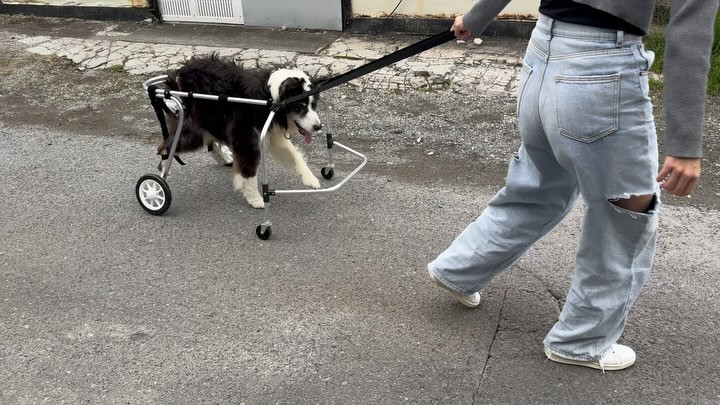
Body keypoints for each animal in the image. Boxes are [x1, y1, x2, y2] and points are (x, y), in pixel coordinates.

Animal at [162, 53, 324, 208]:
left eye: (314, 105)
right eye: (299, 106)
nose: (318, 127)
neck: (269, 98)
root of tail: (181, 71)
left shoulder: (272, 137)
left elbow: (294, 155)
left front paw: (311, 179)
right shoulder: (246, 141)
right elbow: (249, 174)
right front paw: (255, 198)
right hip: (195, 130)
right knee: (167, 146)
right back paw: (162, 173)